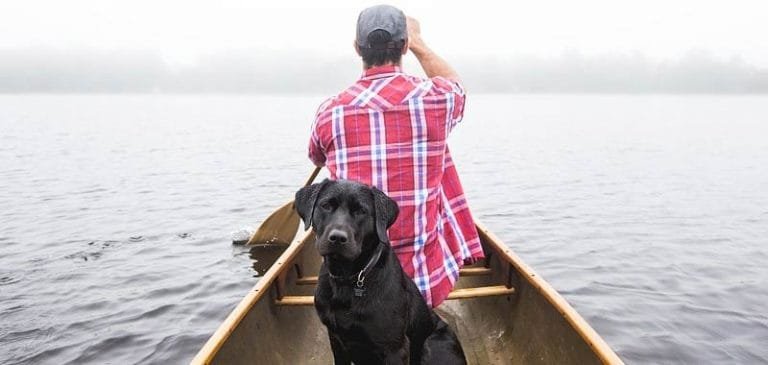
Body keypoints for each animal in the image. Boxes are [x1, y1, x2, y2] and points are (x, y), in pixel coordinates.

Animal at [294, 180, 464, 364]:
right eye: (326, 205)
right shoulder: (336, 339)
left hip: (431, 345)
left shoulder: (395, 348)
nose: (337, 238)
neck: (348, 279)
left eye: (361, 211)